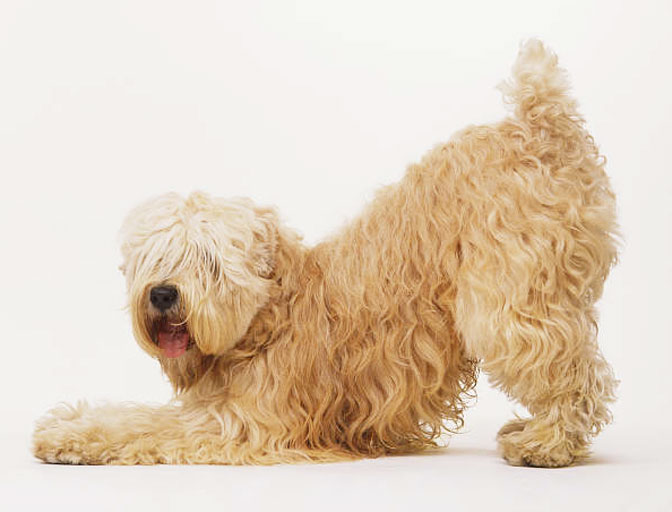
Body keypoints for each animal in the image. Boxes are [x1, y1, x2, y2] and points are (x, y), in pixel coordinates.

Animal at [32, 41, 620, 468]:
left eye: (209, 261)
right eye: (154, 257)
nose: (161, 294)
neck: (267, 319)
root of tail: (539, 125)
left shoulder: (238, 424)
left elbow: (142, 425)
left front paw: (68, 436)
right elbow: (130, 413)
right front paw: (67, 422)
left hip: (511, 303)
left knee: (571, 373)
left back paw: (546, 444)